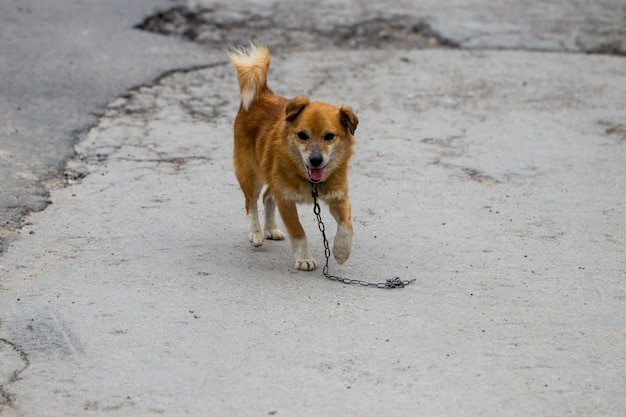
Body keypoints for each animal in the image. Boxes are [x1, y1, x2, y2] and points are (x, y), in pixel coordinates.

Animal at [228, 43, 356, 270]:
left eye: (329, 136)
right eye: (302, 135)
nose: (316, 160)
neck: (311, 182)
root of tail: (263, 94)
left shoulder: (339, 197)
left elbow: (347, 224)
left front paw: (341, 250)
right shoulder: (286, 201)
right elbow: (298, 231)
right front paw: (304, 258)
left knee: (266, 197)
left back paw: (270, 229)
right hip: (251, 174)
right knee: (251, 202)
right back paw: (256, 232)